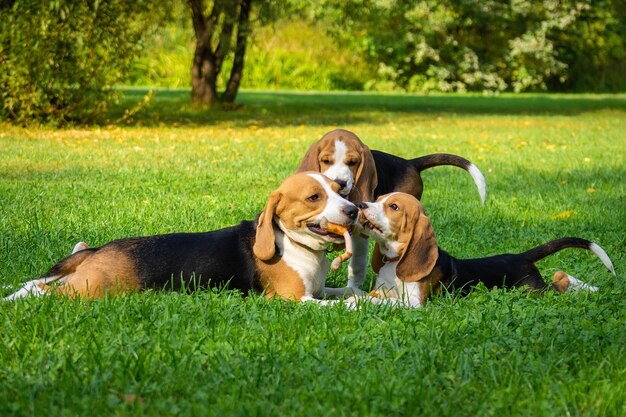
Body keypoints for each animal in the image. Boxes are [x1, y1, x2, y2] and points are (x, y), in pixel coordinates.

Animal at [3, 172, 356, 302]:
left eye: (339, 190)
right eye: (314, 197)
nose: (353, 210)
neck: (297, 245)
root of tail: (98, 248)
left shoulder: (320, 290)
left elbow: (347, 293)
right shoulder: (295, 300)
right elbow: (344, 305)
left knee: (33, 284)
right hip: (90, 291)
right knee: (41, 292)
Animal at [298, 127, 488, 292]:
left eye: (353, 162)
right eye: (326, 161)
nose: (340, 183)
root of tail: (410, 163)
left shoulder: (360, 235)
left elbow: (356, 266)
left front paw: (351, 290)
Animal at [356, 193, 616, 308]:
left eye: (393, 206)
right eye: (378, 198)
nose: (361, 204)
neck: (394, 261)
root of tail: (520, 256)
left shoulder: (414, 303)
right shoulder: (381, 290)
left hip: (532, 291)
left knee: (561, 282)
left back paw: (590, 288)